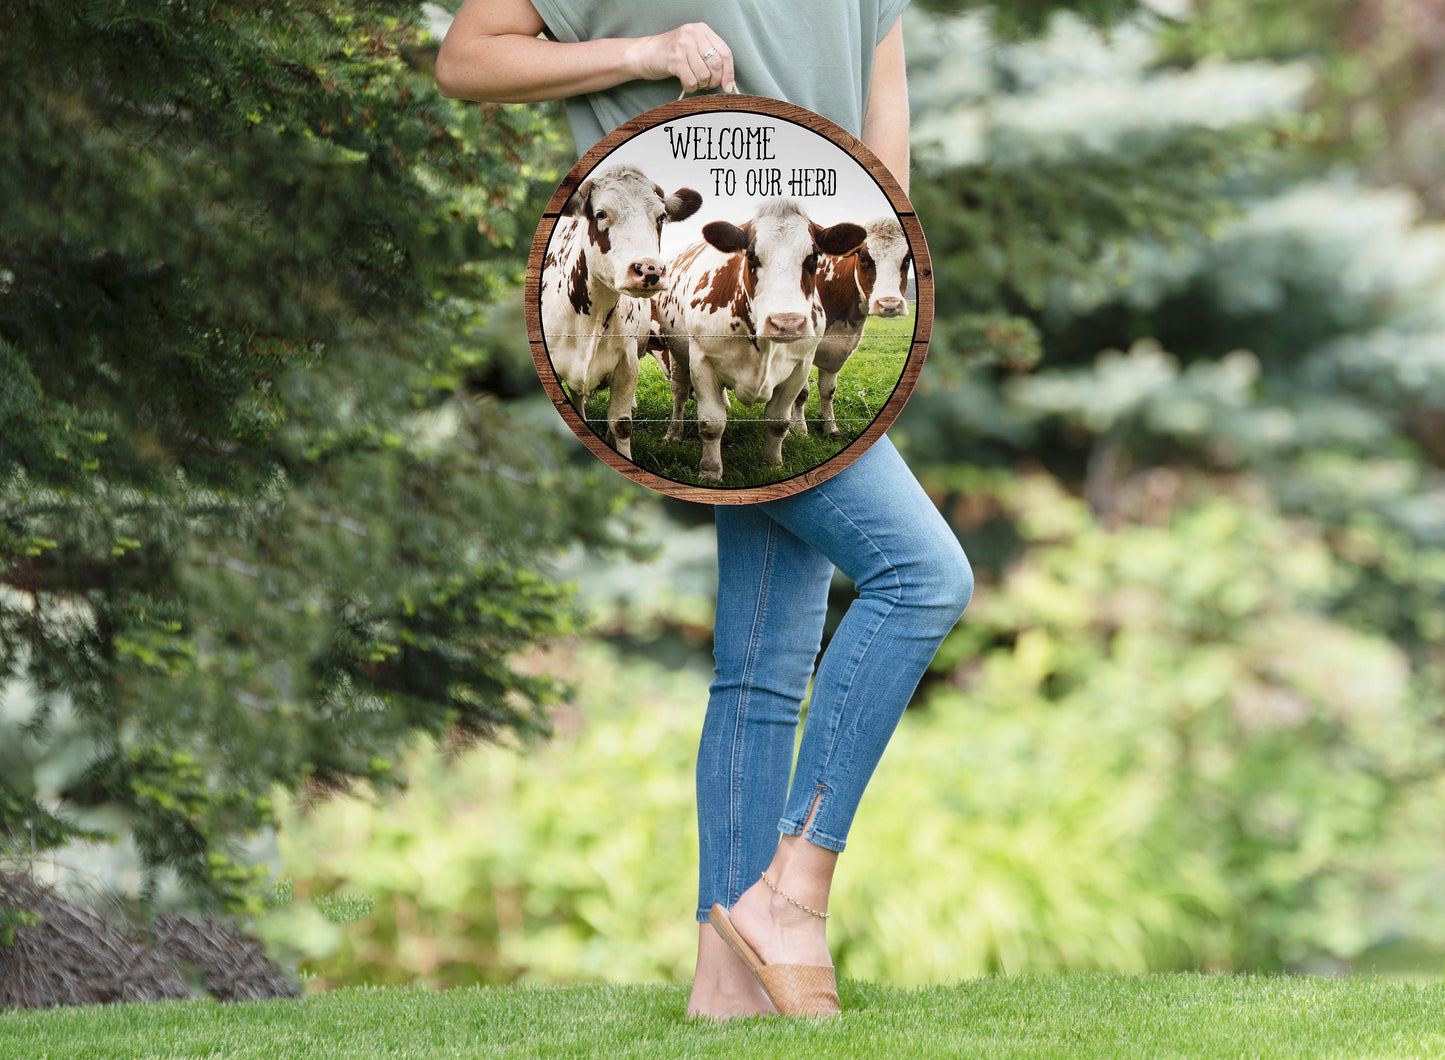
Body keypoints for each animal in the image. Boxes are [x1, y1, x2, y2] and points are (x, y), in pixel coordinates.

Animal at [658, 197, 867, 482]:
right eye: (752, 255)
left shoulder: (800, 366)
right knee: (679, 393)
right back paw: (673, 433)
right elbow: (711, 423)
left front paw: (772, 465)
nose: (786, 324)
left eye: (813, 257)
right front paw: (710, 472)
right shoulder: (702, 361)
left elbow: (779, 422)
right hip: (677, 353)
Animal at [791, 218, 913, 439]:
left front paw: (830, 426)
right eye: (864, 257)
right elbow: (801, 392)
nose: (889, 304)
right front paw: (799, 429)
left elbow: (828, 390)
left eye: (907, 259)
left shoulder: (838, 349)